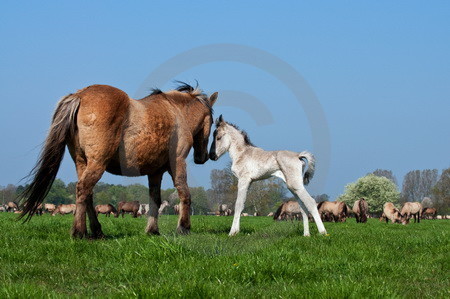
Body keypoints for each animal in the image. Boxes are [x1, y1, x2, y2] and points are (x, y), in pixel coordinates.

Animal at [18, 82, 219, 239]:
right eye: (212, 121)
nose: (202, 157)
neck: (175, 111)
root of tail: (80, 95)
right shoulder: (177, 163)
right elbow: (184, 193)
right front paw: (183, 227)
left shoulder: (155, 172)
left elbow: (155, 199)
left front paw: (152, 230)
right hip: (97, 162)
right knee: (83, 189)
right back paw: (79, 232)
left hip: (82, 162)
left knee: (87, 194)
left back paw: (97, 231)